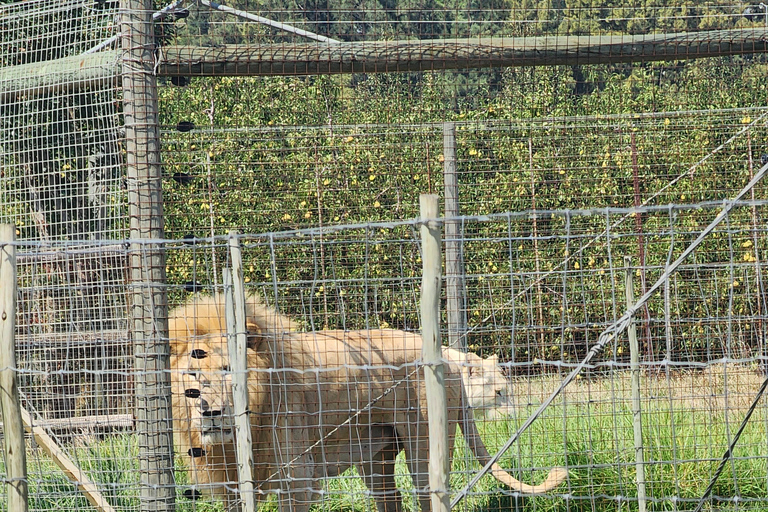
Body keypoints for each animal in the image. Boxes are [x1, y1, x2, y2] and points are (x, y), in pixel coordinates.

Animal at [171, 296, 568, 512]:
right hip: (373, 456)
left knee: (429, 496)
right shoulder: (231, 485)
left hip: (425, 448)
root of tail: (449, 361)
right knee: (391, 498)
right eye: (193, 375)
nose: (210, 412)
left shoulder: (297, 477)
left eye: (228, 371)